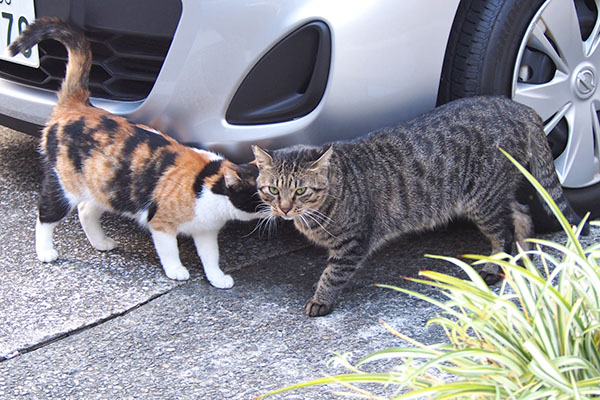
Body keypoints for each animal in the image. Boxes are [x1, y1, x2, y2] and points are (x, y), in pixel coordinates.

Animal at [9, 18, 262, 288]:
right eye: (267, 193)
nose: (280, 211)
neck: (207, 179)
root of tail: (78, 105)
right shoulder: (161, 223)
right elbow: (169, 250)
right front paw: (177, 270)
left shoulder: (205, 230)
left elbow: (210, 255)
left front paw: (217, 277)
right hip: (64, 186)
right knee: (45, 216)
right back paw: (45, 251)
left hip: (106, 188)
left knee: (86, 210)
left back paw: (101, 243)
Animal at [253, 96, 584, 316]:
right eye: (272, 190)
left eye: (300, 190)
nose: (284, 209)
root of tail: (519, 106)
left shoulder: (353, 242)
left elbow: (333, 273)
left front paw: (321, 298)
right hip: (494, 194)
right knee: (522, 213)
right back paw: (525, 254)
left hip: (483, 199)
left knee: (502, 234)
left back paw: (496, 265)